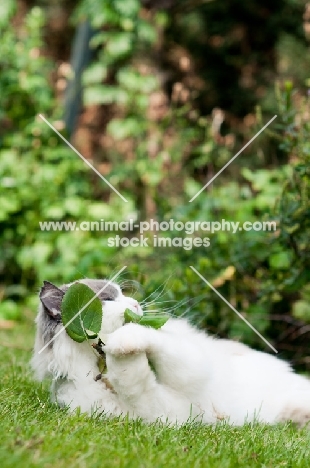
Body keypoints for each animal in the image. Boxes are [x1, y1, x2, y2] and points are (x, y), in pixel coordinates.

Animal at [32, 280, 310, 426]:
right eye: (108, 299)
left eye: (123, 295)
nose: (135, 304)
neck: (101, 365)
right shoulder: (160, 413)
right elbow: (132, 378)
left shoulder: (190, 364)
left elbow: (151, 343)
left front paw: (122, 340)